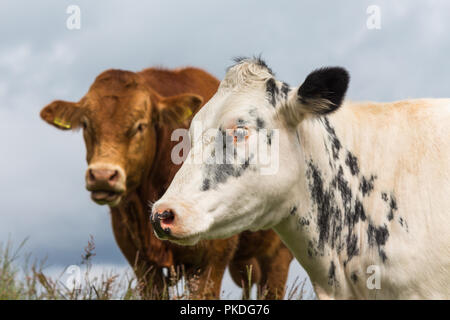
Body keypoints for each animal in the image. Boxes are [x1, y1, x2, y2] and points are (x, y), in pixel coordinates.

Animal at [38, 66, 292, 298]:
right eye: (87, 124)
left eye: (140, 125)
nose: (102, 175)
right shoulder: (141, 263)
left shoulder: (211, 259)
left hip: (278, 256)